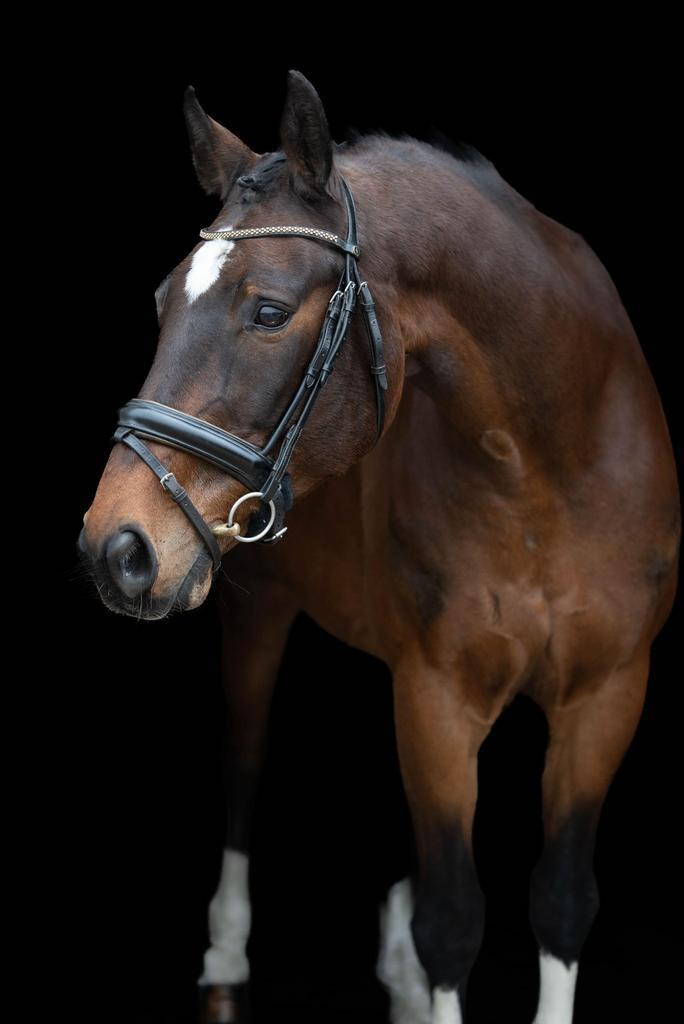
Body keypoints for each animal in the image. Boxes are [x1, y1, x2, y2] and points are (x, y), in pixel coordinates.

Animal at [77, 70, 680, 1024]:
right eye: (162, 302)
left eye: (269, 311)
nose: (116, 546)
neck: (548, 472)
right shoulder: (437, 699)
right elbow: (451, 923)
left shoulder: (609, 694)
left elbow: (560, 902)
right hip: (259, 612)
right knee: (244, 765)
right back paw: (226, 960)